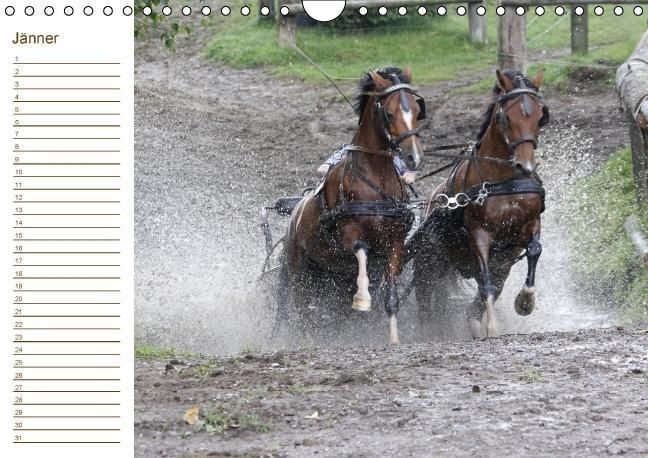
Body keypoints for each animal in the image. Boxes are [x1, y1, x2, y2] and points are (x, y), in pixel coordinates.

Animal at [277, 67, 426, 345]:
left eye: (416, 108)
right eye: (389, 113)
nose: (414, 157)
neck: (375, 183)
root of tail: (294, 214)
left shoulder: (395, 242)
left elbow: (391, 296)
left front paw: (393, 338)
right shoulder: (348, 235)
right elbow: (362, 250)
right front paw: (363, 299)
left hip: (329, 275)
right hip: (299, 270)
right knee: (301, 310)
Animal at [409, 69, 549, 338]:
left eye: (540, 116)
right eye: (507, 117)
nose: (525, 166)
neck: (504, 182)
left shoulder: (530, 225)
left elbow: (534, 251)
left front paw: (524, 302)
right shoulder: (479, 232)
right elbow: (486, 281)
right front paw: (491, 326)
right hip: (429, 263)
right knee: (425, 297)